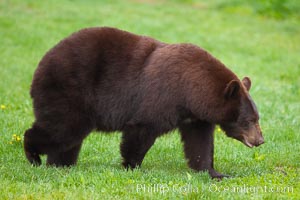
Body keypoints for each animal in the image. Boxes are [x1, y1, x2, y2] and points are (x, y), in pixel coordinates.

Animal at [23, 26, 264, 178]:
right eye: (249, 120)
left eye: (256, 117)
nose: (260, 140)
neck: (191, 91)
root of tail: (42, 63)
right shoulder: (162, 98)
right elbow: (141, 130)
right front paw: (132, 166)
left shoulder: (195, 117)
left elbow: (200, 144)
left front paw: (215, 173)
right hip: (70, 91)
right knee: (62, 129)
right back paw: (33, 155)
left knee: (67, 138)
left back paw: (60, 164)